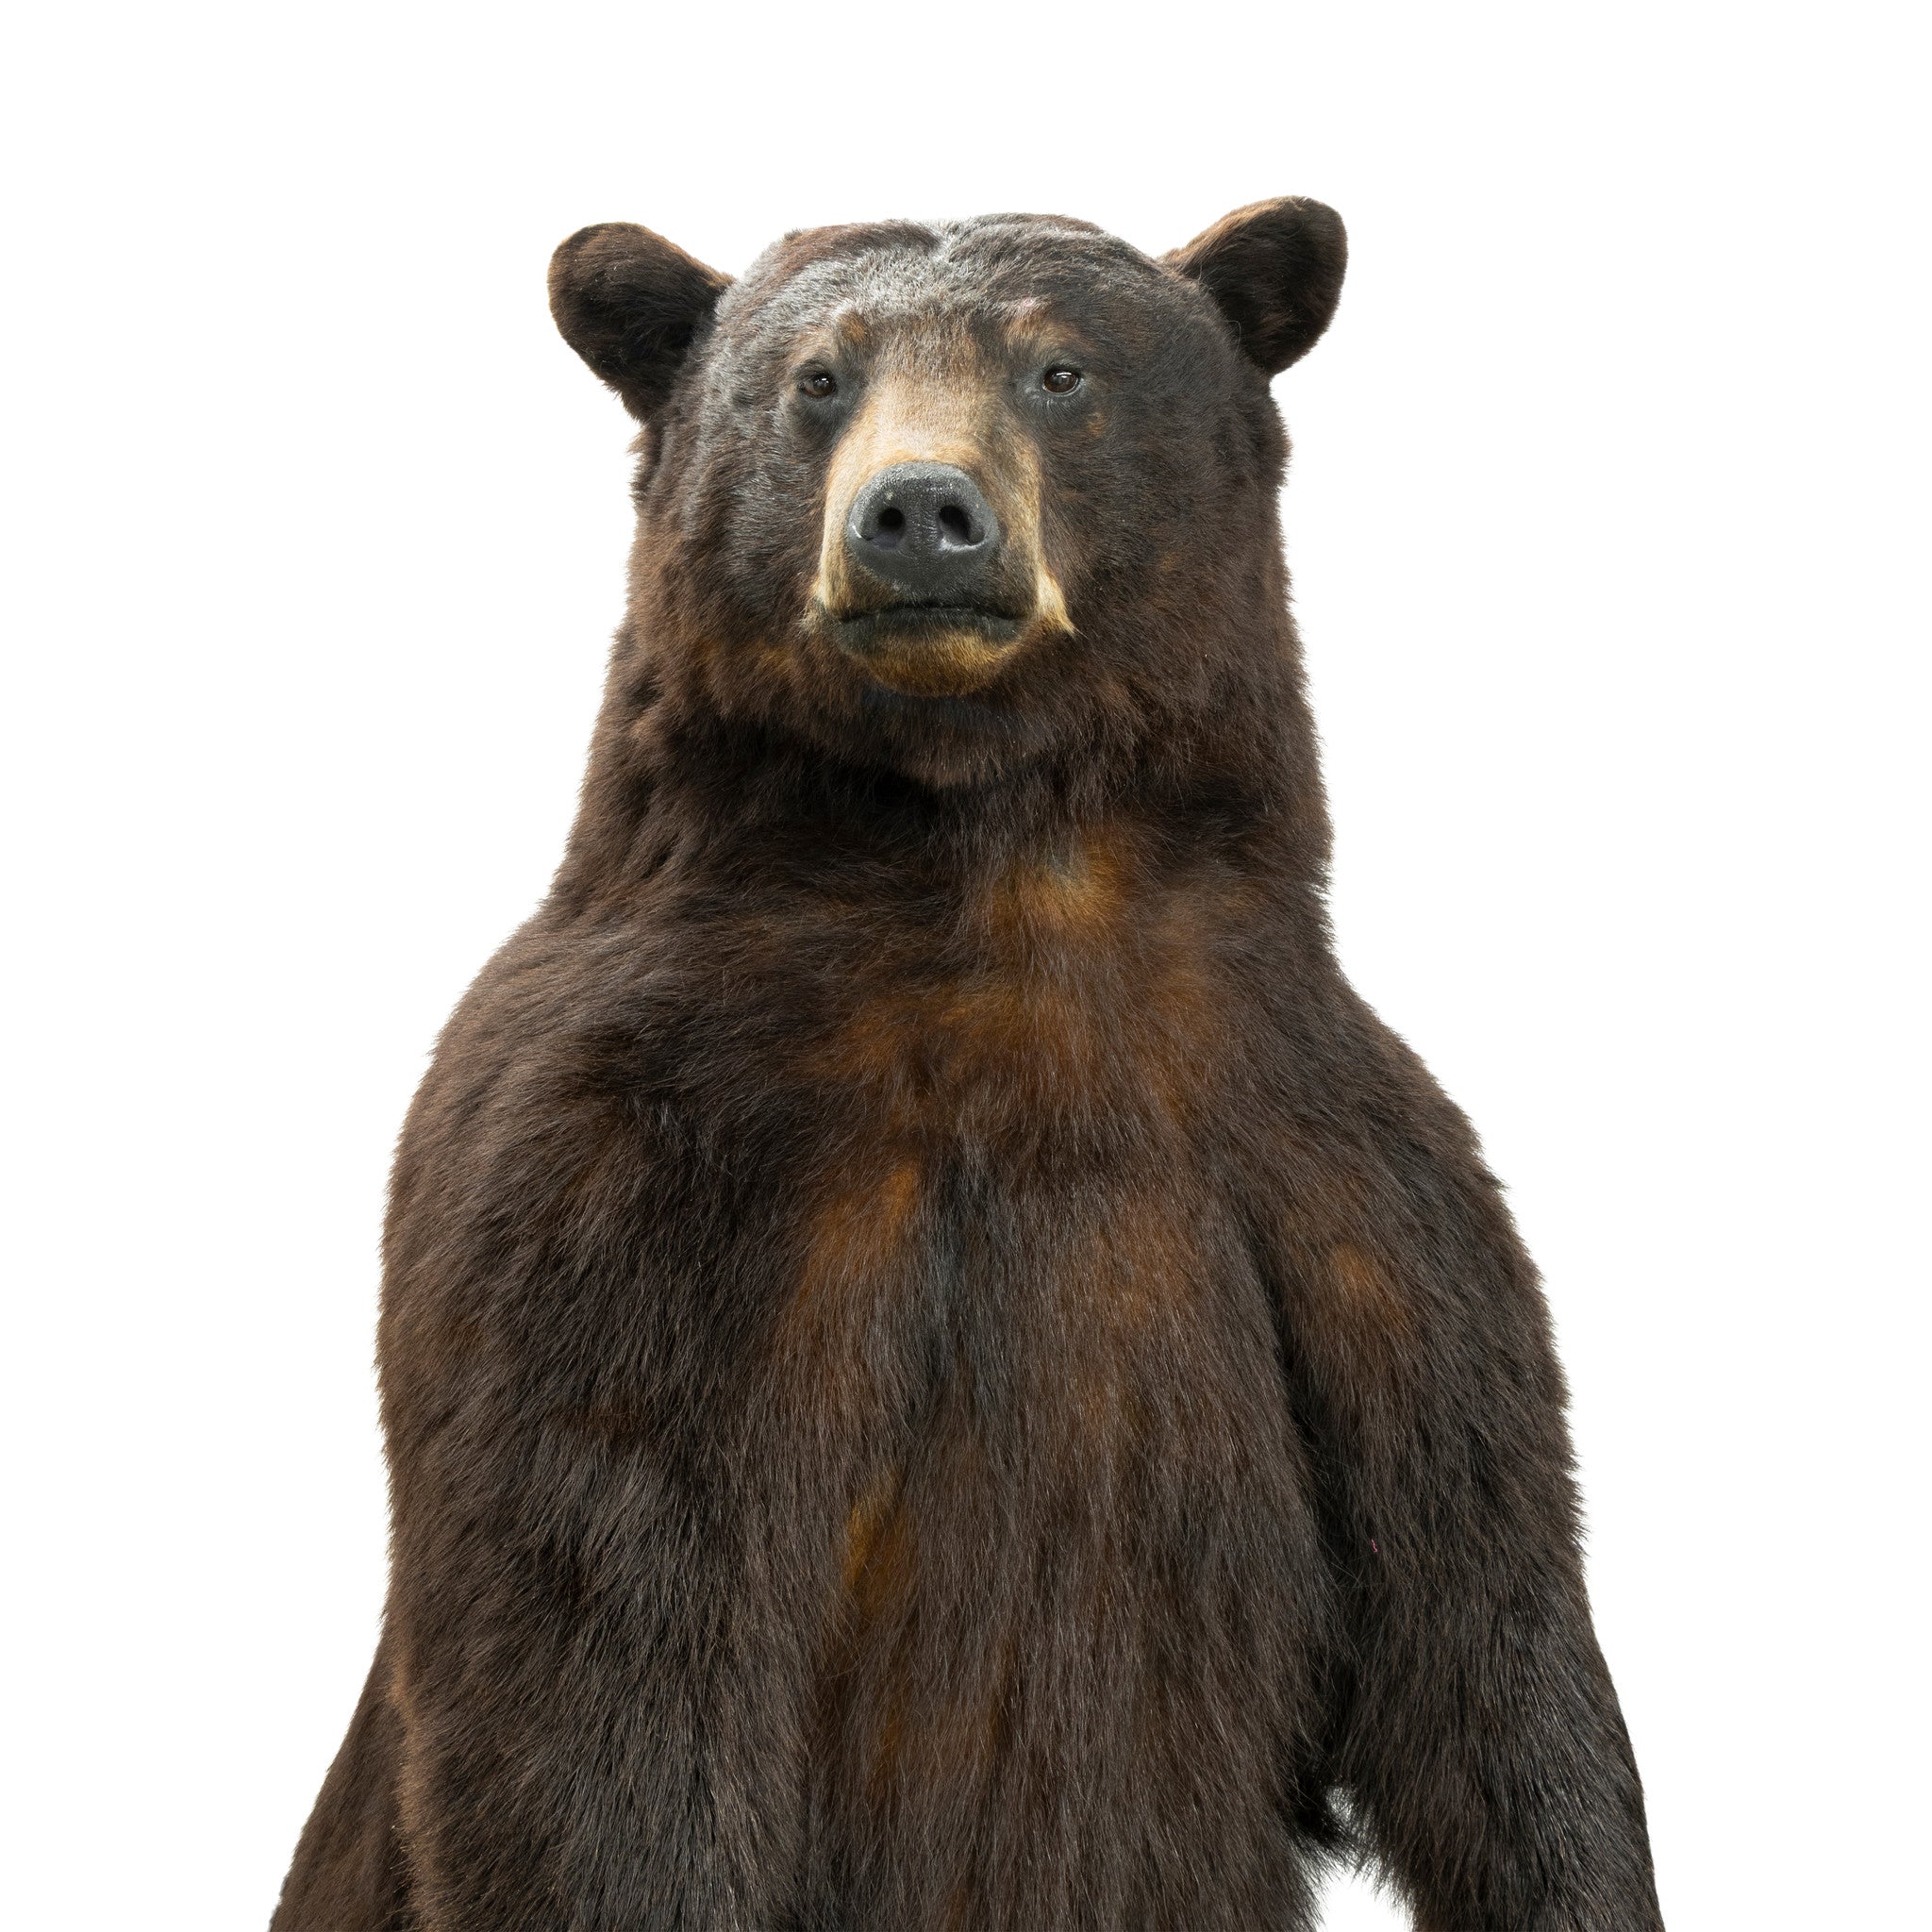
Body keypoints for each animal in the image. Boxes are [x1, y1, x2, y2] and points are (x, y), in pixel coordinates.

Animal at [271, 201, 1664, 1931]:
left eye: (1056, 368)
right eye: (816, 377)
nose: (920, 513)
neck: (1001, 890)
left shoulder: (1336, 1158)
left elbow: (1488, 1604)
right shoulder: (617, 1155)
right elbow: (601, 1644)